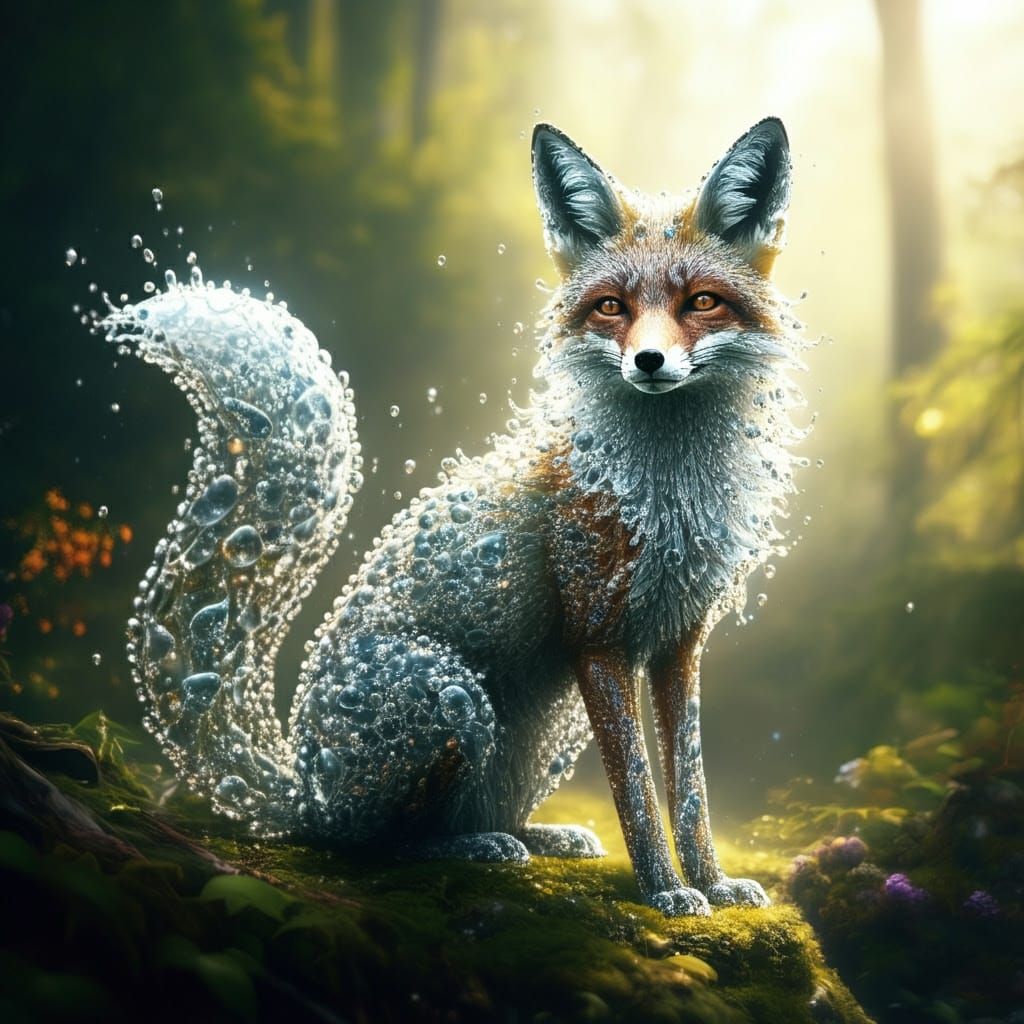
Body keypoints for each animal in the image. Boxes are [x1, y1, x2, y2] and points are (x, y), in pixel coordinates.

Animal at [99, 117, 804, 917]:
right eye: (611, 308)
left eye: (701, 302)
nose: (649, 362)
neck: (668, 490)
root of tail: (306, 788)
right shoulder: (597, 639)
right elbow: (635, 788)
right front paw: (663, 890)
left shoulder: (679, 643)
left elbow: (689, 787)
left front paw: (711, 882)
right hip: (453, 697)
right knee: (373, 846)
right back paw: (471, 849)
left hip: (544, 725)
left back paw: (534, 836)